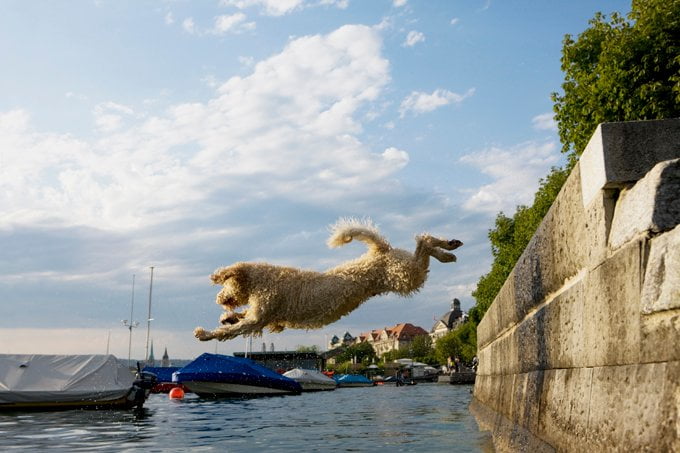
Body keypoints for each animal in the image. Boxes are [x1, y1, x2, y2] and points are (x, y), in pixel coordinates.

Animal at [194, 218, 464, 340]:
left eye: (226, 284)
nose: (220, 299)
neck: (263, 279)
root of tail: (380, 250)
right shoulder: (268, 320)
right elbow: (239, 319)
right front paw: (227, 318)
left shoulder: (259, 318)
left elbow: (231, 329)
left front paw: (205, 333)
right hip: (408, 273)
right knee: (423, 247)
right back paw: (448, 251)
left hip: (406, 276)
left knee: (423, 241)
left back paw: (448, 247)